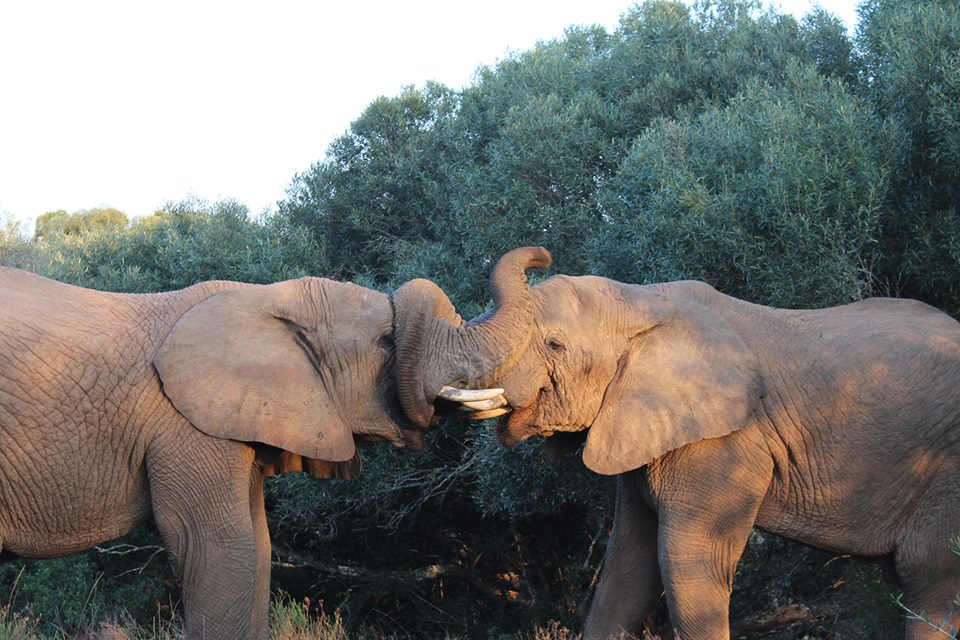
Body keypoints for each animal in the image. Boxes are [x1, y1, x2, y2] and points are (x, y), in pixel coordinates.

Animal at [402, 248, 960, 640]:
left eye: (555, 345)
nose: (542, 254)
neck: (642, 300)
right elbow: (626, 569)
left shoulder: (724, 443)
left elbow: (687, 564)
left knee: (930, 581)